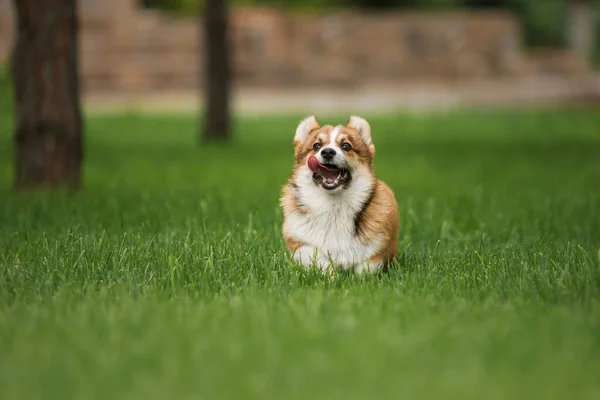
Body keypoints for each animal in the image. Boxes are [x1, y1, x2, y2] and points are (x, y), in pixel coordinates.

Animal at [280, 114, 398, 274]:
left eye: (346, 146)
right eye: (316, 146)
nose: (328, 152)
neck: (333, 206)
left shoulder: (376, 250)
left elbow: (364, 268)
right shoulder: (300, 244)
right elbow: (319, 260)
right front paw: (331, 275)